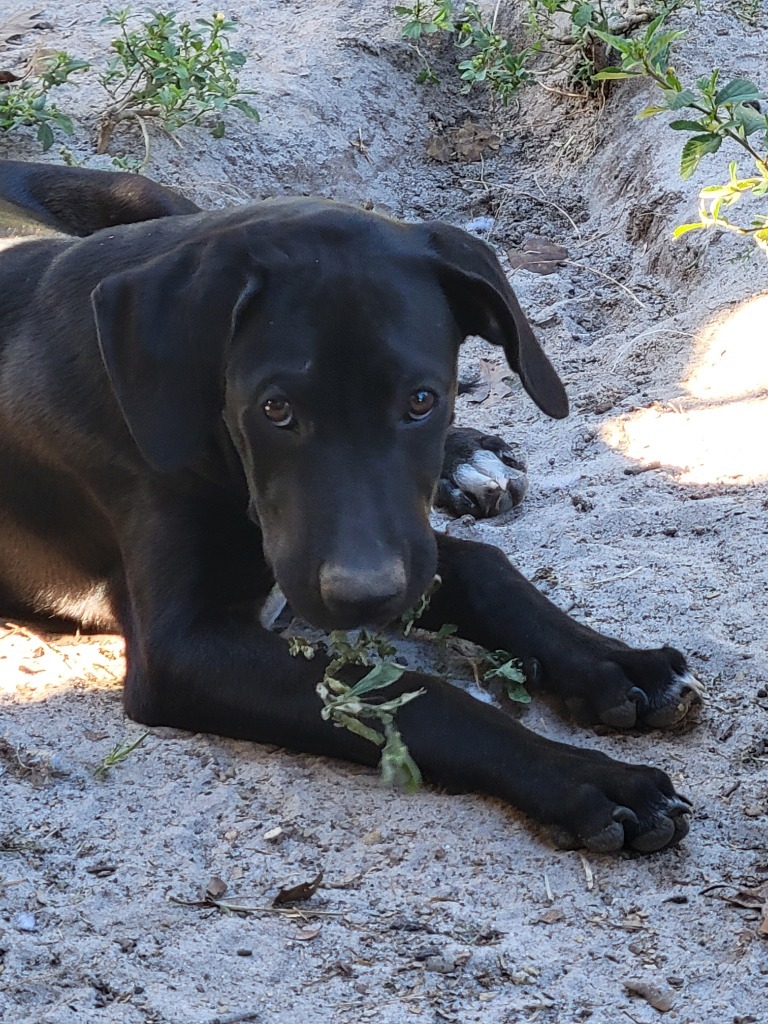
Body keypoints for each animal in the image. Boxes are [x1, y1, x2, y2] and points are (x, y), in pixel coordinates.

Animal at [0, 163, 700, 851]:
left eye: (421, 399)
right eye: (275, 408)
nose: (364, 598)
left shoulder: (392, 542)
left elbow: (485, 570)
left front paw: (615, 661)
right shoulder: (184, 648)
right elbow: (423, 696)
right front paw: (583, 778)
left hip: (152, 195)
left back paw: (469, 457)